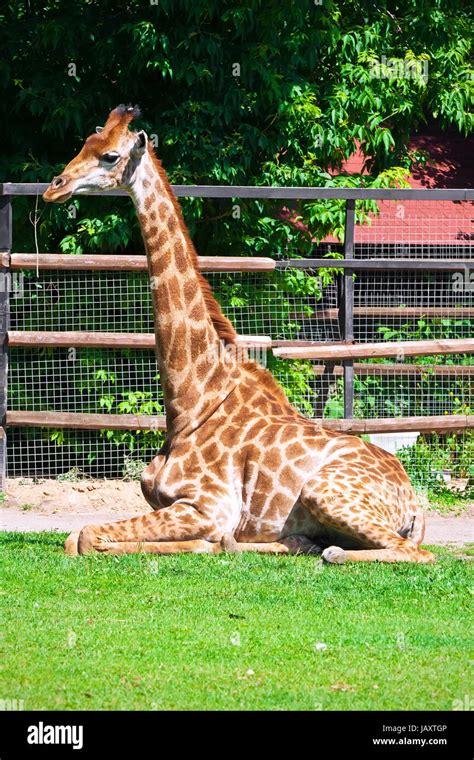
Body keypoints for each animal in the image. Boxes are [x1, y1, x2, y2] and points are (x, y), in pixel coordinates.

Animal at [42, 104, 436, 560]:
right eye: (85, 144)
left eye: (109, 156)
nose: (54, 187)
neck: (191, 403)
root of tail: (412, 498)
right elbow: (74, 537)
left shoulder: (208, 507)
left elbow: (87, 537)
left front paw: (206, 545)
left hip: (328, 493)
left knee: (414, 553)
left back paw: (328, 551)